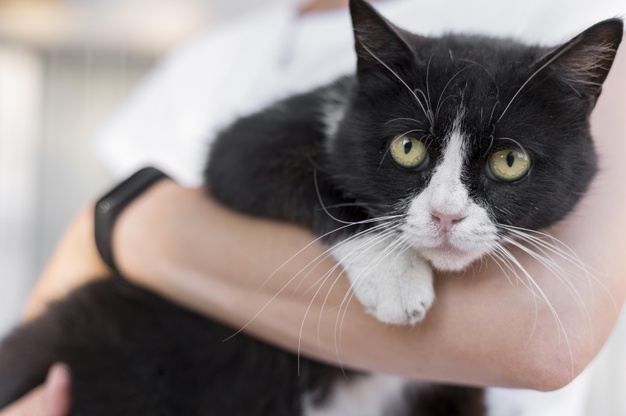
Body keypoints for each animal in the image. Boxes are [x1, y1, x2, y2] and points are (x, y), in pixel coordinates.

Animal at [0, 0, 616, 416]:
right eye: (407, 147)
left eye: (510, 161)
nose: (447, 216)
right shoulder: (244, 149)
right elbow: (301, 174)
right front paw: (394, 279)